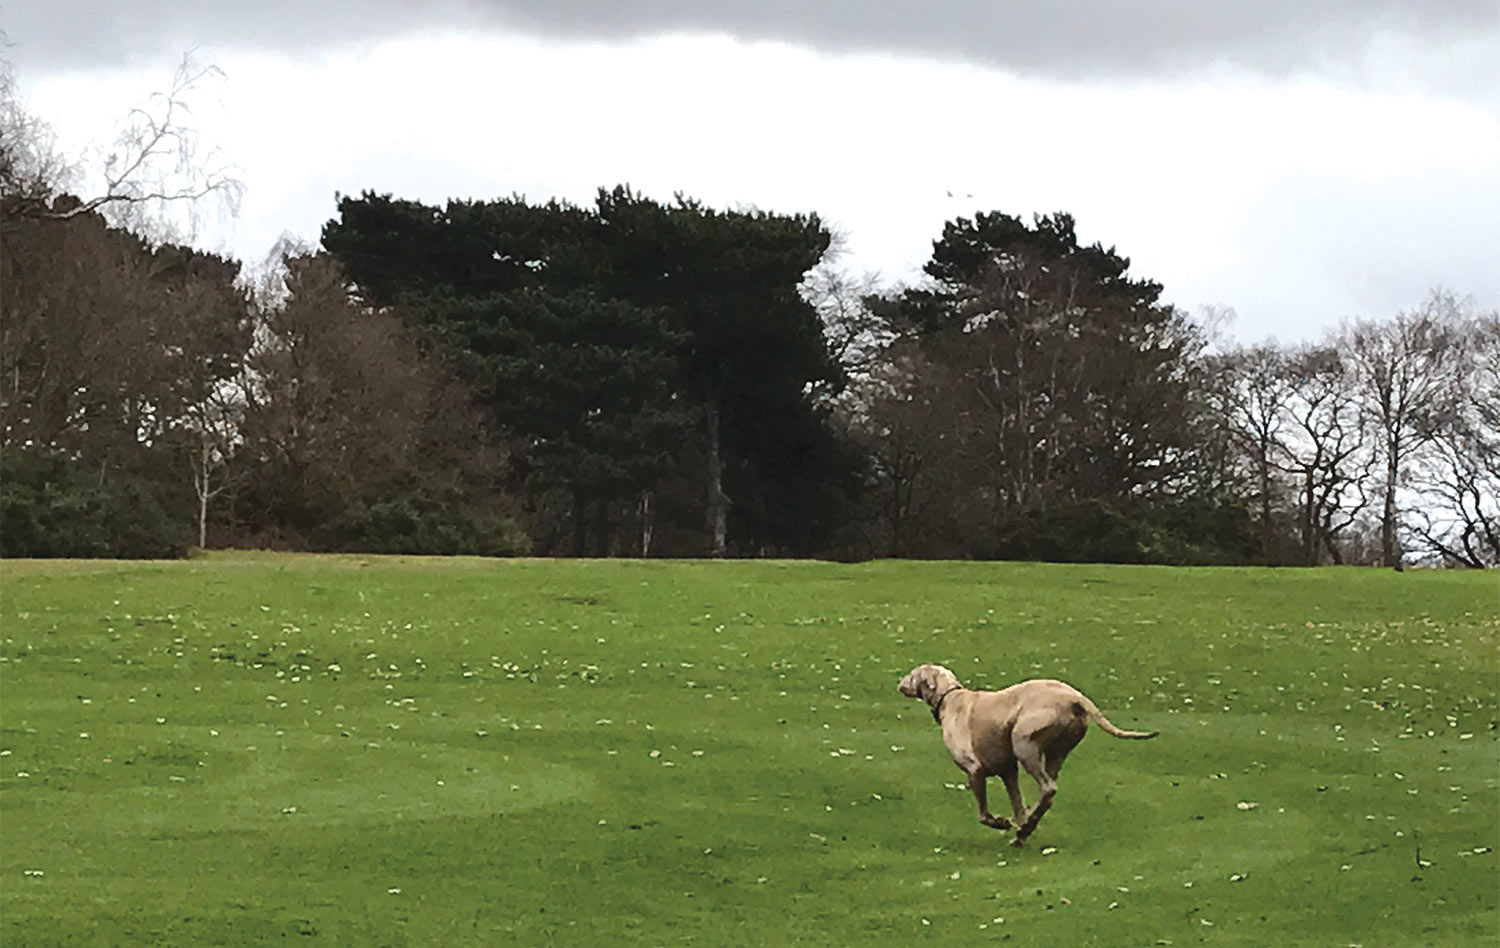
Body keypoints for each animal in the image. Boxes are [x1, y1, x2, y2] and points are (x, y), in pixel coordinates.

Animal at [894, 663, 1152, 846]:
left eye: (911, 674)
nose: (898, 682)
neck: (949, 697)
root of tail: (1075, 697)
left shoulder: (974, 770)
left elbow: (983, 815)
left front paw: (1001, 823)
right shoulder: (1009, 771)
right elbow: (1017, 806)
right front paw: (1019, 827)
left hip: (1024, 743)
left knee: (1048, 788)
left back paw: (1025, 829)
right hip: (1055, 752)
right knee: (1047, 794)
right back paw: (1026, 829)